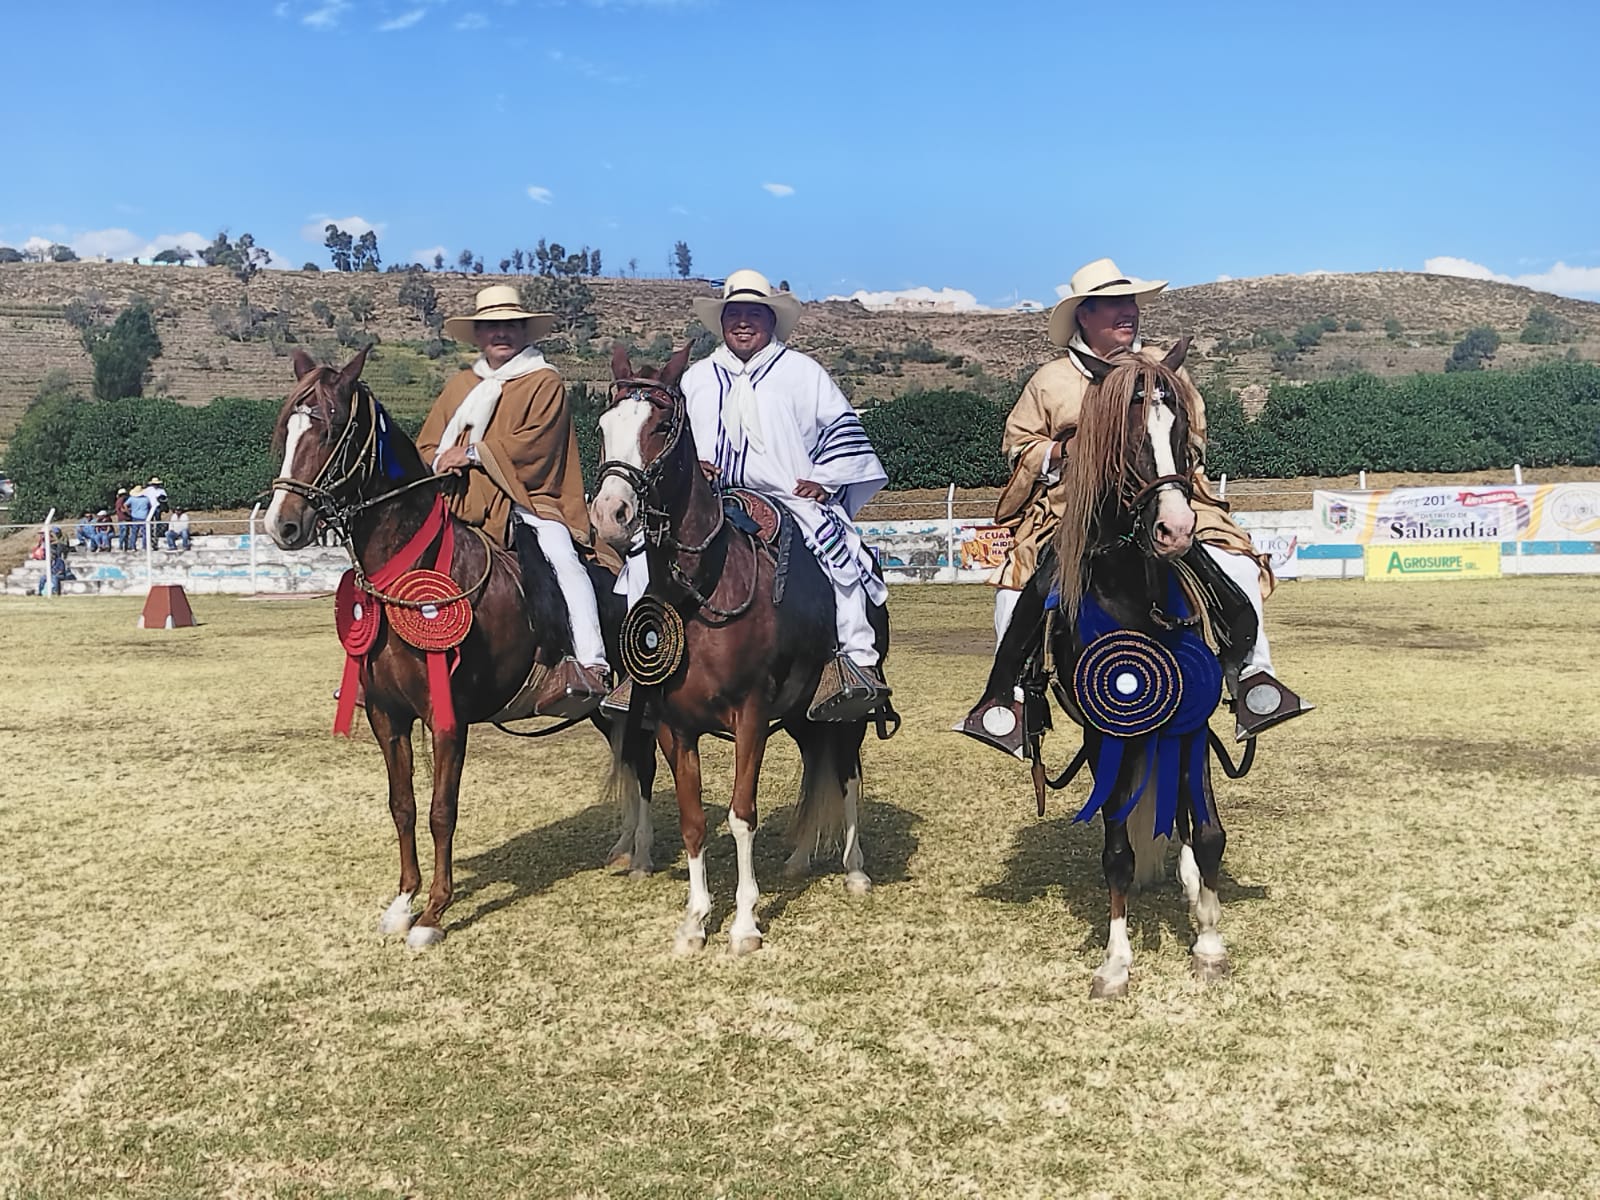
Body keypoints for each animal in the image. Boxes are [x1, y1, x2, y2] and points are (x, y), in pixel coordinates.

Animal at [268, 347, 656, 947]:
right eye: (285, 426)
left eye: (330, 428)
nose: (282, 525)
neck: (413, 566)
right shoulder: (387, 716)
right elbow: (403, 806)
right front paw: (402, 902)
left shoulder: (447, 719)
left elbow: (440, 811)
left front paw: (432, 914)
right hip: (603, 708)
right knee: (631, 759)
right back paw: (624, 849)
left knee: (645, 762)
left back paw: (641, 855)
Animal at [592, 347, 896, 960]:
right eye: (603, 428)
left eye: (660, 427)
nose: (610, 513)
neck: (702, 590)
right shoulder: (673, 727)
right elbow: (692, 820)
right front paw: (694, 921)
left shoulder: (751, 714)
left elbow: (741, 815)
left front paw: (745, 923)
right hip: (803, 715)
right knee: (816, 765)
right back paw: (801, 857)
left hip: (847, 716)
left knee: (846, 774)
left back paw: (853, 870)